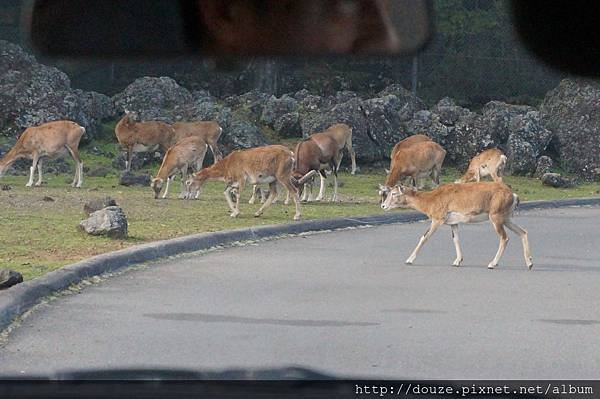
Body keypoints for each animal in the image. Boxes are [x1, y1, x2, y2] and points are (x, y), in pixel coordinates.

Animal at [382, 183, 532, 270]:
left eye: (394, 193)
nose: (383, 205)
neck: (431, 200)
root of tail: (513, 195)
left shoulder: (437, 219)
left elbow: (424, 237)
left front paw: (409, 260)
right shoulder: (453, 223)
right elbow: (456, 239)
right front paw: (457, 261)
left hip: (496, 217)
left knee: (505, 238)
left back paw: (492, 264)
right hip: (506, 218)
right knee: (523, 232)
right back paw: (529, 263)